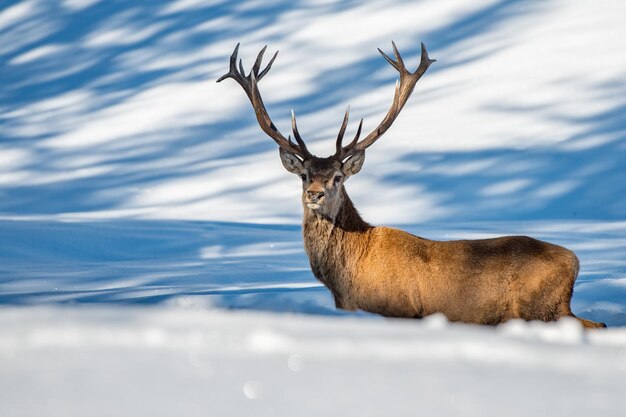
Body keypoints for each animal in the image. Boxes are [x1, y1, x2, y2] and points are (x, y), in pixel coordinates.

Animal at [216, 41, 604, 328]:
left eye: (338, 176)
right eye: (304, 174)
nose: (315, 194)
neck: (345, 281)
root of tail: (575, 261)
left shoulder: (399, 311)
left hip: (542, 308)